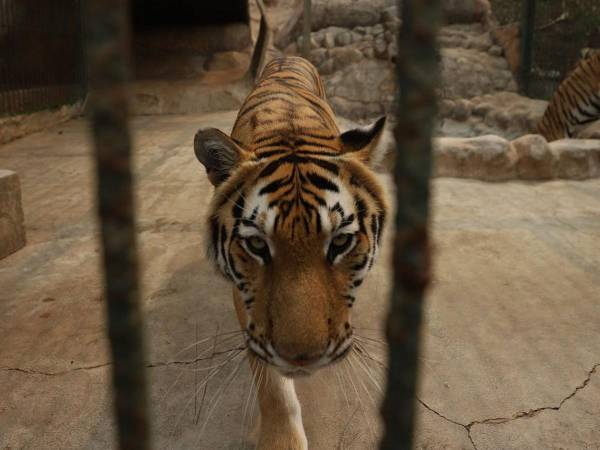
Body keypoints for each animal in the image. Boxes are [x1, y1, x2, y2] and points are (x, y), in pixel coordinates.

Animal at [193, 57, 390, 450]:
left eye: (340, 242)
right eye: (257, 244)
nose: (303, 358)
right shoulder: (247, 302)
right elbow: (272, 385)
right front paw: (281, 439)